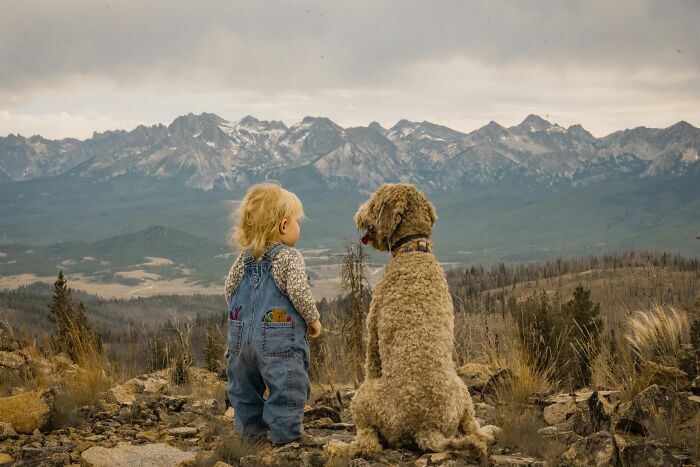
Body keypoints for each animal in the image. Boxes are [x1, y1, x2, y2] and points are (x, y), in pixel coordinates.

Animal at [348, 185, 492, 458]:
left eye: (374, 202)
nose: (358, 215)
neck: (414, 248)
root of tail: (428, 428)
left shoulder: (373, 331)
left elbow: (371, 360)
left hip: (365, 398)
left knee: (369, 437)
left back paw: (354, 444)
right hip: (464, 394)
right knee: (472, 427)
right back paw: (488, 433)